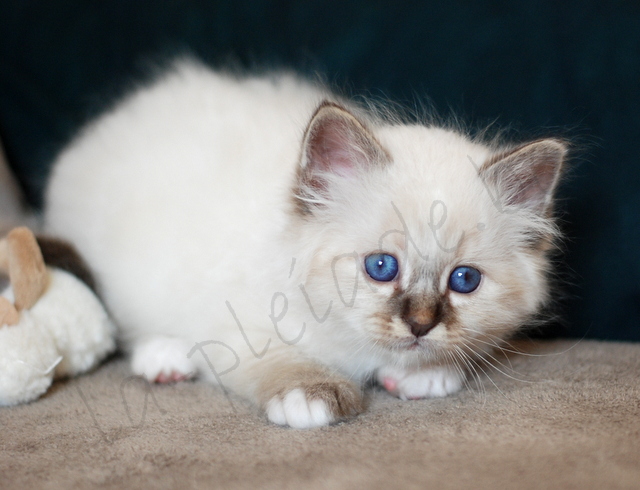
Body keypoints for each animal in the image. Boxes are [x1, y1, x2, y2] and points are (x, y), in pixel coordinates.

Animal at [45, 59, 564, 428]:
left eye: (464, 280)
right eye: (381, 267)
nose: (420, 325)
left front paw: (425, 373)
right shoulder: (238, 325)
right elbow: (281, 361)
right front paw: (313, 396)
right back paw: (166, 358)